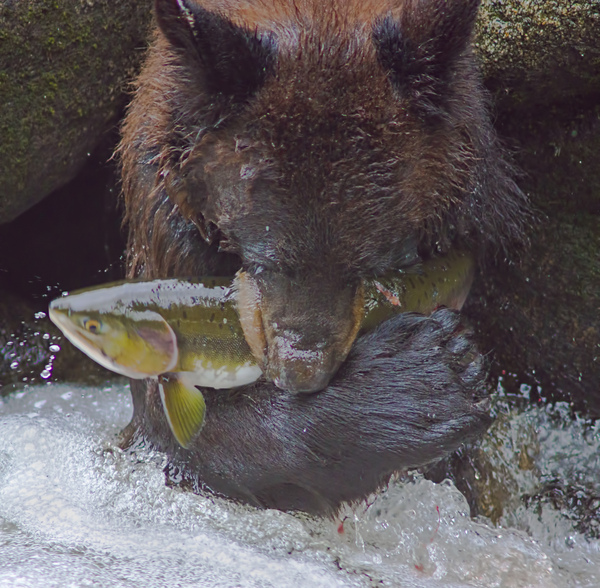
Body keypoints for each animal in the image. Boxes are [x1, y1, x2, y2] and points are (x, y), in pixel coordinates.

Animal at [117, 0, 528, 516]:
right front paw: (427, 375)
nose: (301, 373)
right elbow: (182, 423)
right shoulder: (170, 243)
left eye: (376, 262)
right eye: (265, 258)